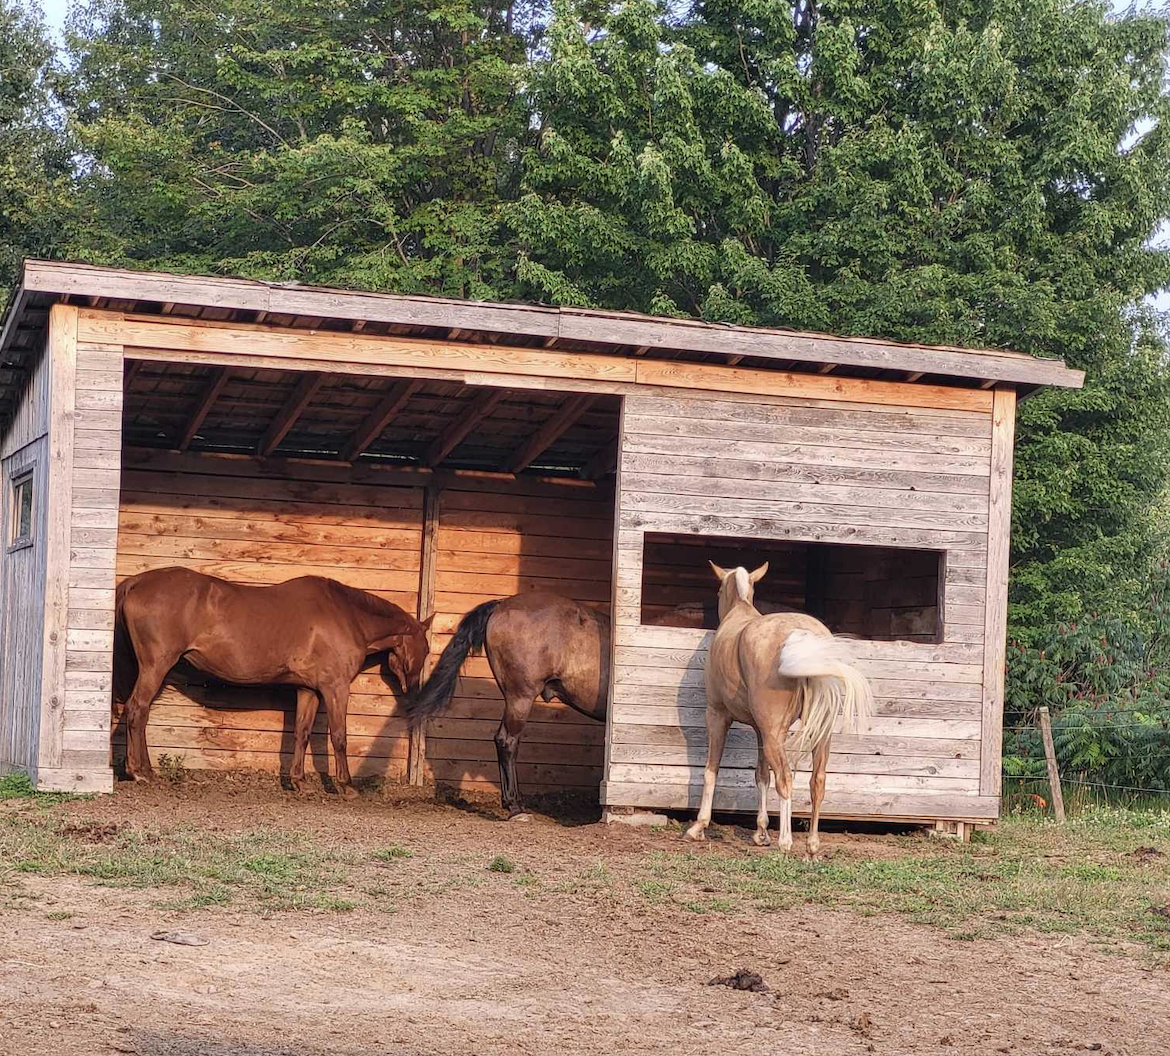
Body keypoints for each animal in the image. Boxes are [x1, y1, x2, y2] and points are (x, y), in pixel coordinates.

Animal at [113, 566, 432, 797]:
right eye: (426, 650)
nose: (415, 692)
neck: (347, 616)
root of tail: (137, 582)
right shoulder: (335, 688)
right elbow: (339, 736)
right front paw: (346, 786)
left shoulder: (308, 690)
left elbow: (301, 733)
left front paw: (299, 782)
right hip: (156, 666)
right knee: (137, 709)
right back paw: (140, 772)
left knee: (138, 713)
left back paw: (144, 770)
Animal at [685, 562, 873, 857]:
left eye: (717, 591)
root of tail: (800, 635)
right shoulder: (760, 729)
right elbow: (761, 775)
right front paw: (761, 832)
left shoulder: (717, 715)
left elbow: (711, 770)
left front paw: (698, 827)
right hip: (818, 735)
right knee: (817, 781)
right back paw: (811, 845)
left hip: (774, 734)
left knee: (785, 778)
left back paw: (786, 842)